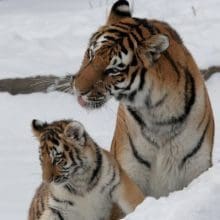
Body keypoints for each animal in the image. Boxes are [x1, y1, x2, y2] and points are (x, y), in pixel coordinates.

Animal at [72, 0, 215, 199]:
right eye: (91, 54)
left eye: (113, 70)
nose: (78, 90)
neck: (159, 112)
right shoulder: (129, 172)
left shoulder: (196, 167)